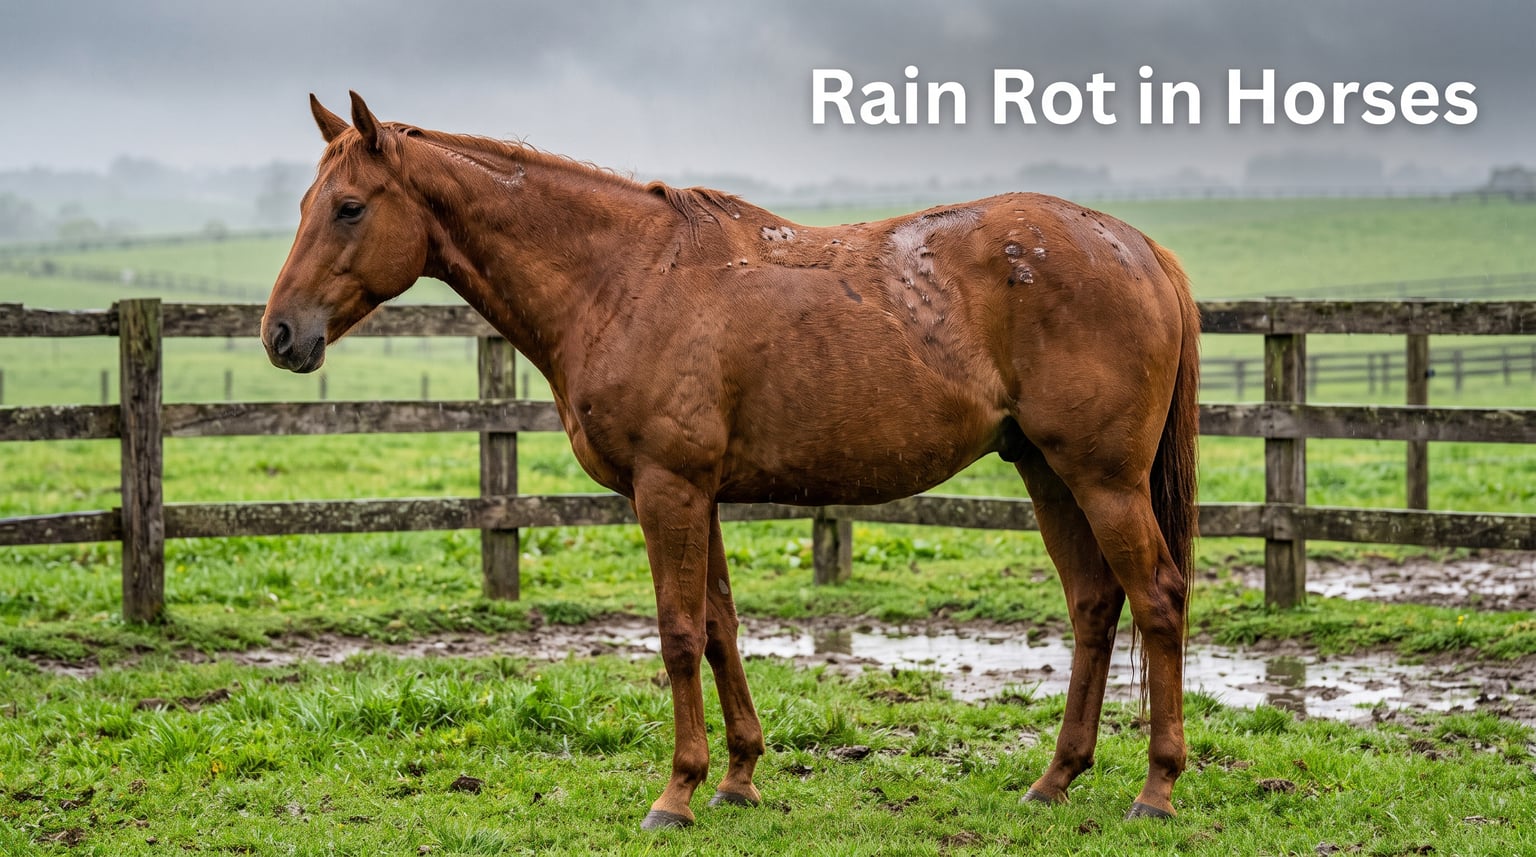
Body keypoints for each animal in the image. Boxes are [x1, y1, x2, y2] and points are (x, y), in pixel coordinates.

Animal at [262, 92, 1200, 828]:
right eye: (308, 201)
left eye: (349, 207)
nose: (281, 334)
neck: (624, 276)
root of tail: (1140, 247)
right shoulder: (698, 493)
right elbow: (719, 627)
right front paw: (740, 776)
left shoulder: (666, 489)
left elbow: (678, 633)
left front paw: (676, 793)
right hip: (1046, 470)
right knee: (1093, 605)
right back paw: (1054, 779)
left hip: (1103, 479)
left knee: (1156, 598)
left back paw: (1156, 789)